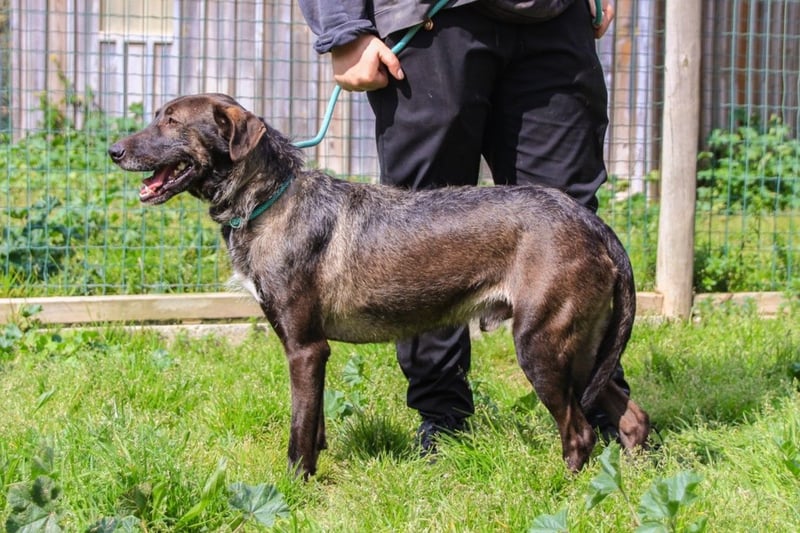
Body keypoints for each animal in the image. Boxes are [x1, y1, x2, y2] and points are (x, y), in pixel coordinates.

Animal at [108, 93, 650, 477]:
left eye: (172, 122)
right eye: (156, 116)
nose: (113, 150)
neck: (271, 200)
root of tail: (593, 223)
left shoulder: (305, 348)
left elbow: (299, 429)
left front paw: (292, 488)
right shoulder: (311, 350)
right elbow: (315, 422)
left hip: (541, 346)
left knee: (579, 432)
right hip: (584, 350)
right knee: (632, 419)